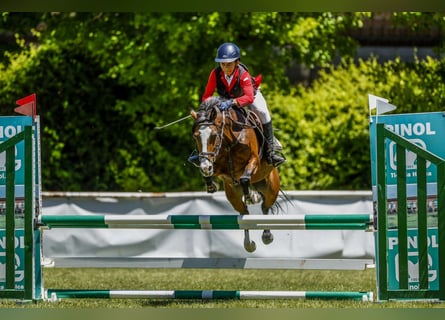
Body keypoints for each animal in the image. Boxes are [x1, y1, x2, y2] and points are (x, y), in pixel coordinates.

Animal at [189, 96, 280, 251]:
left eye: (213, 135)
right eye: (196, 137)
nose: (205, 166)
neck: (229, 139)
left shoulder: (253, 160)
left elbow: (244, 178)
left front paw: (251, 197)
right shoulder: (220, 168)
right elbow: (213, 173)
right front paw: (211, 184)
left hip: (271, 188)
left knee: (265, 206)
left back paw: (266, 235)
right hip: (233, 195)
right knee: (244, 214)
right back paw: (249, 244)